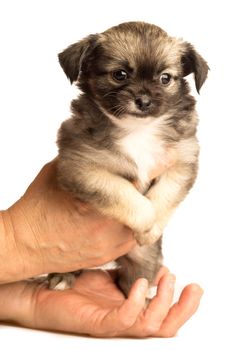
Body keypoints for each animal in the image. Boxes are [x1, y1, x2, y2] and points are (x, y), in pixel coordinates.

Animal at [48, 21, 208, 296]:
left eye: (165, 78)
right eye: (119, 75)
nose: (143, 100)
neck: (137, 129)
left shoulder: (182, 161)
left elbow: (164, 195)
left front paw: (151, 230)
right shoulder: (83, 167)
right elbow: (125, 195)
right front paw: (147, 224)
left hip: (142, 261)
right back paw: (62, 276)